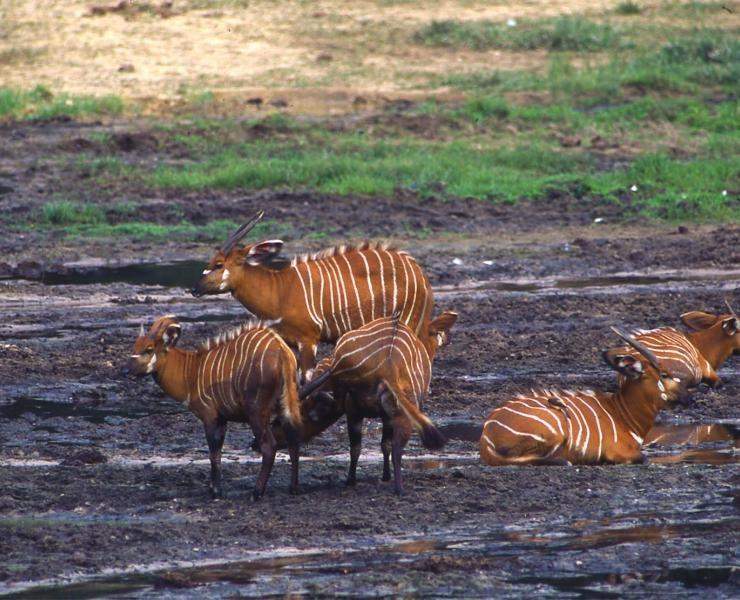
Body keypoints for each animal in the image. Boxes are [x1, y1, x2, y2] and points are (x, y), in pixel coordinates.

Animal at [126, 316, 300, 500]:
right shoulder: (222, 419)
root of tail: (282, 351)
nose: (125, 370)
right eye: (135, 346)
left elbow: (213, 453)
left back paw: (256, 492)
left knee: (269, 446)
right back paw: (293, 488)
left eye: (149, 349)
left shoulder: (209, 416)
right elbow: (218, 451)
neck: (191, 373)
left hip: (257, 412)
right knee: (293, 440)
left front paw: (215, 491)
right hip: (285, 405)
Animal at [191, 213, 434, 378]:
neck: (279, 289)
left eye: (218, 264)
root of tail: (420, 273)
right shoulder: (289, 341)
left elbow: (306, 378)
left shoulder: (308, 339)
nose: (194, 289)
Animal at [296, 312, 456, 494]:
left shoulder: (358, 412)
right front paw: (383, 476)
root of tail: (389, 365)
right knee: (394, 447)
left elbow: (371, 446)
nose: (448, 338)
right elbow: (380, 445)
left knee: (379, 445)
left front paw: (364, 479)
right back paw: (397, 488)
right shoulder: (372, 413)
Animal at [480, 330, 692, 466]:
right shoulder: (618, 452)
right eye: (664, 374)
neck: (622, 414)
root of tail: (487, 434)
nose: (688, 398)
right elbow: (643, 457)